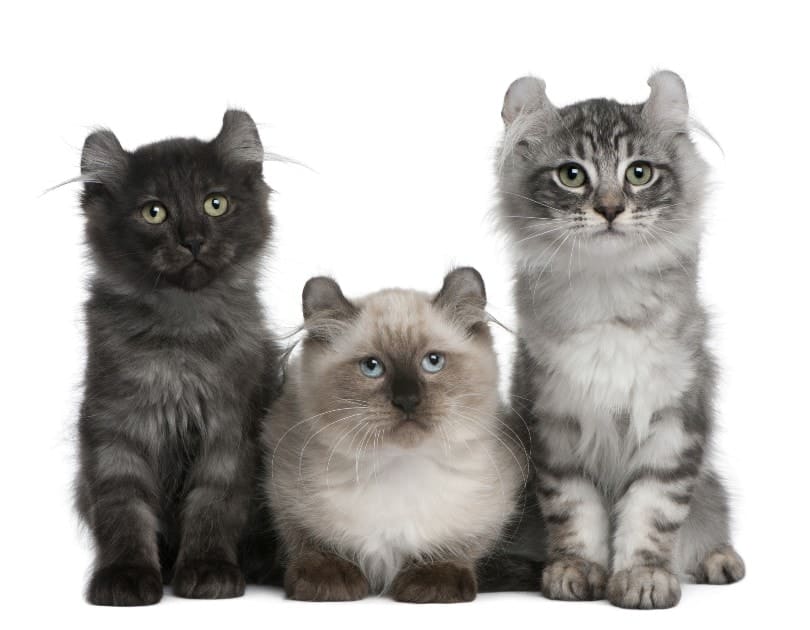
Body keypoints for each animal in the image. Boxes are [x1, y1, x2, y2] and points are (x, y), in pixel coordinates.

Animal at [498, 71, 744, 608]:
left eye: (639, 173)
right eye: (572, 175)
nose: (610, 209)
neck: (608, 293)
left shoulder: (674, 424)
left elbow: (651, 514)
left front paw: (643, 578)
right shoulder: (557, 427)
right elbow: (575, 512)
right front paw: (577, 571)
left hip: (711, 489)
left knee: (709, 524)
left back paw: (719, 560)